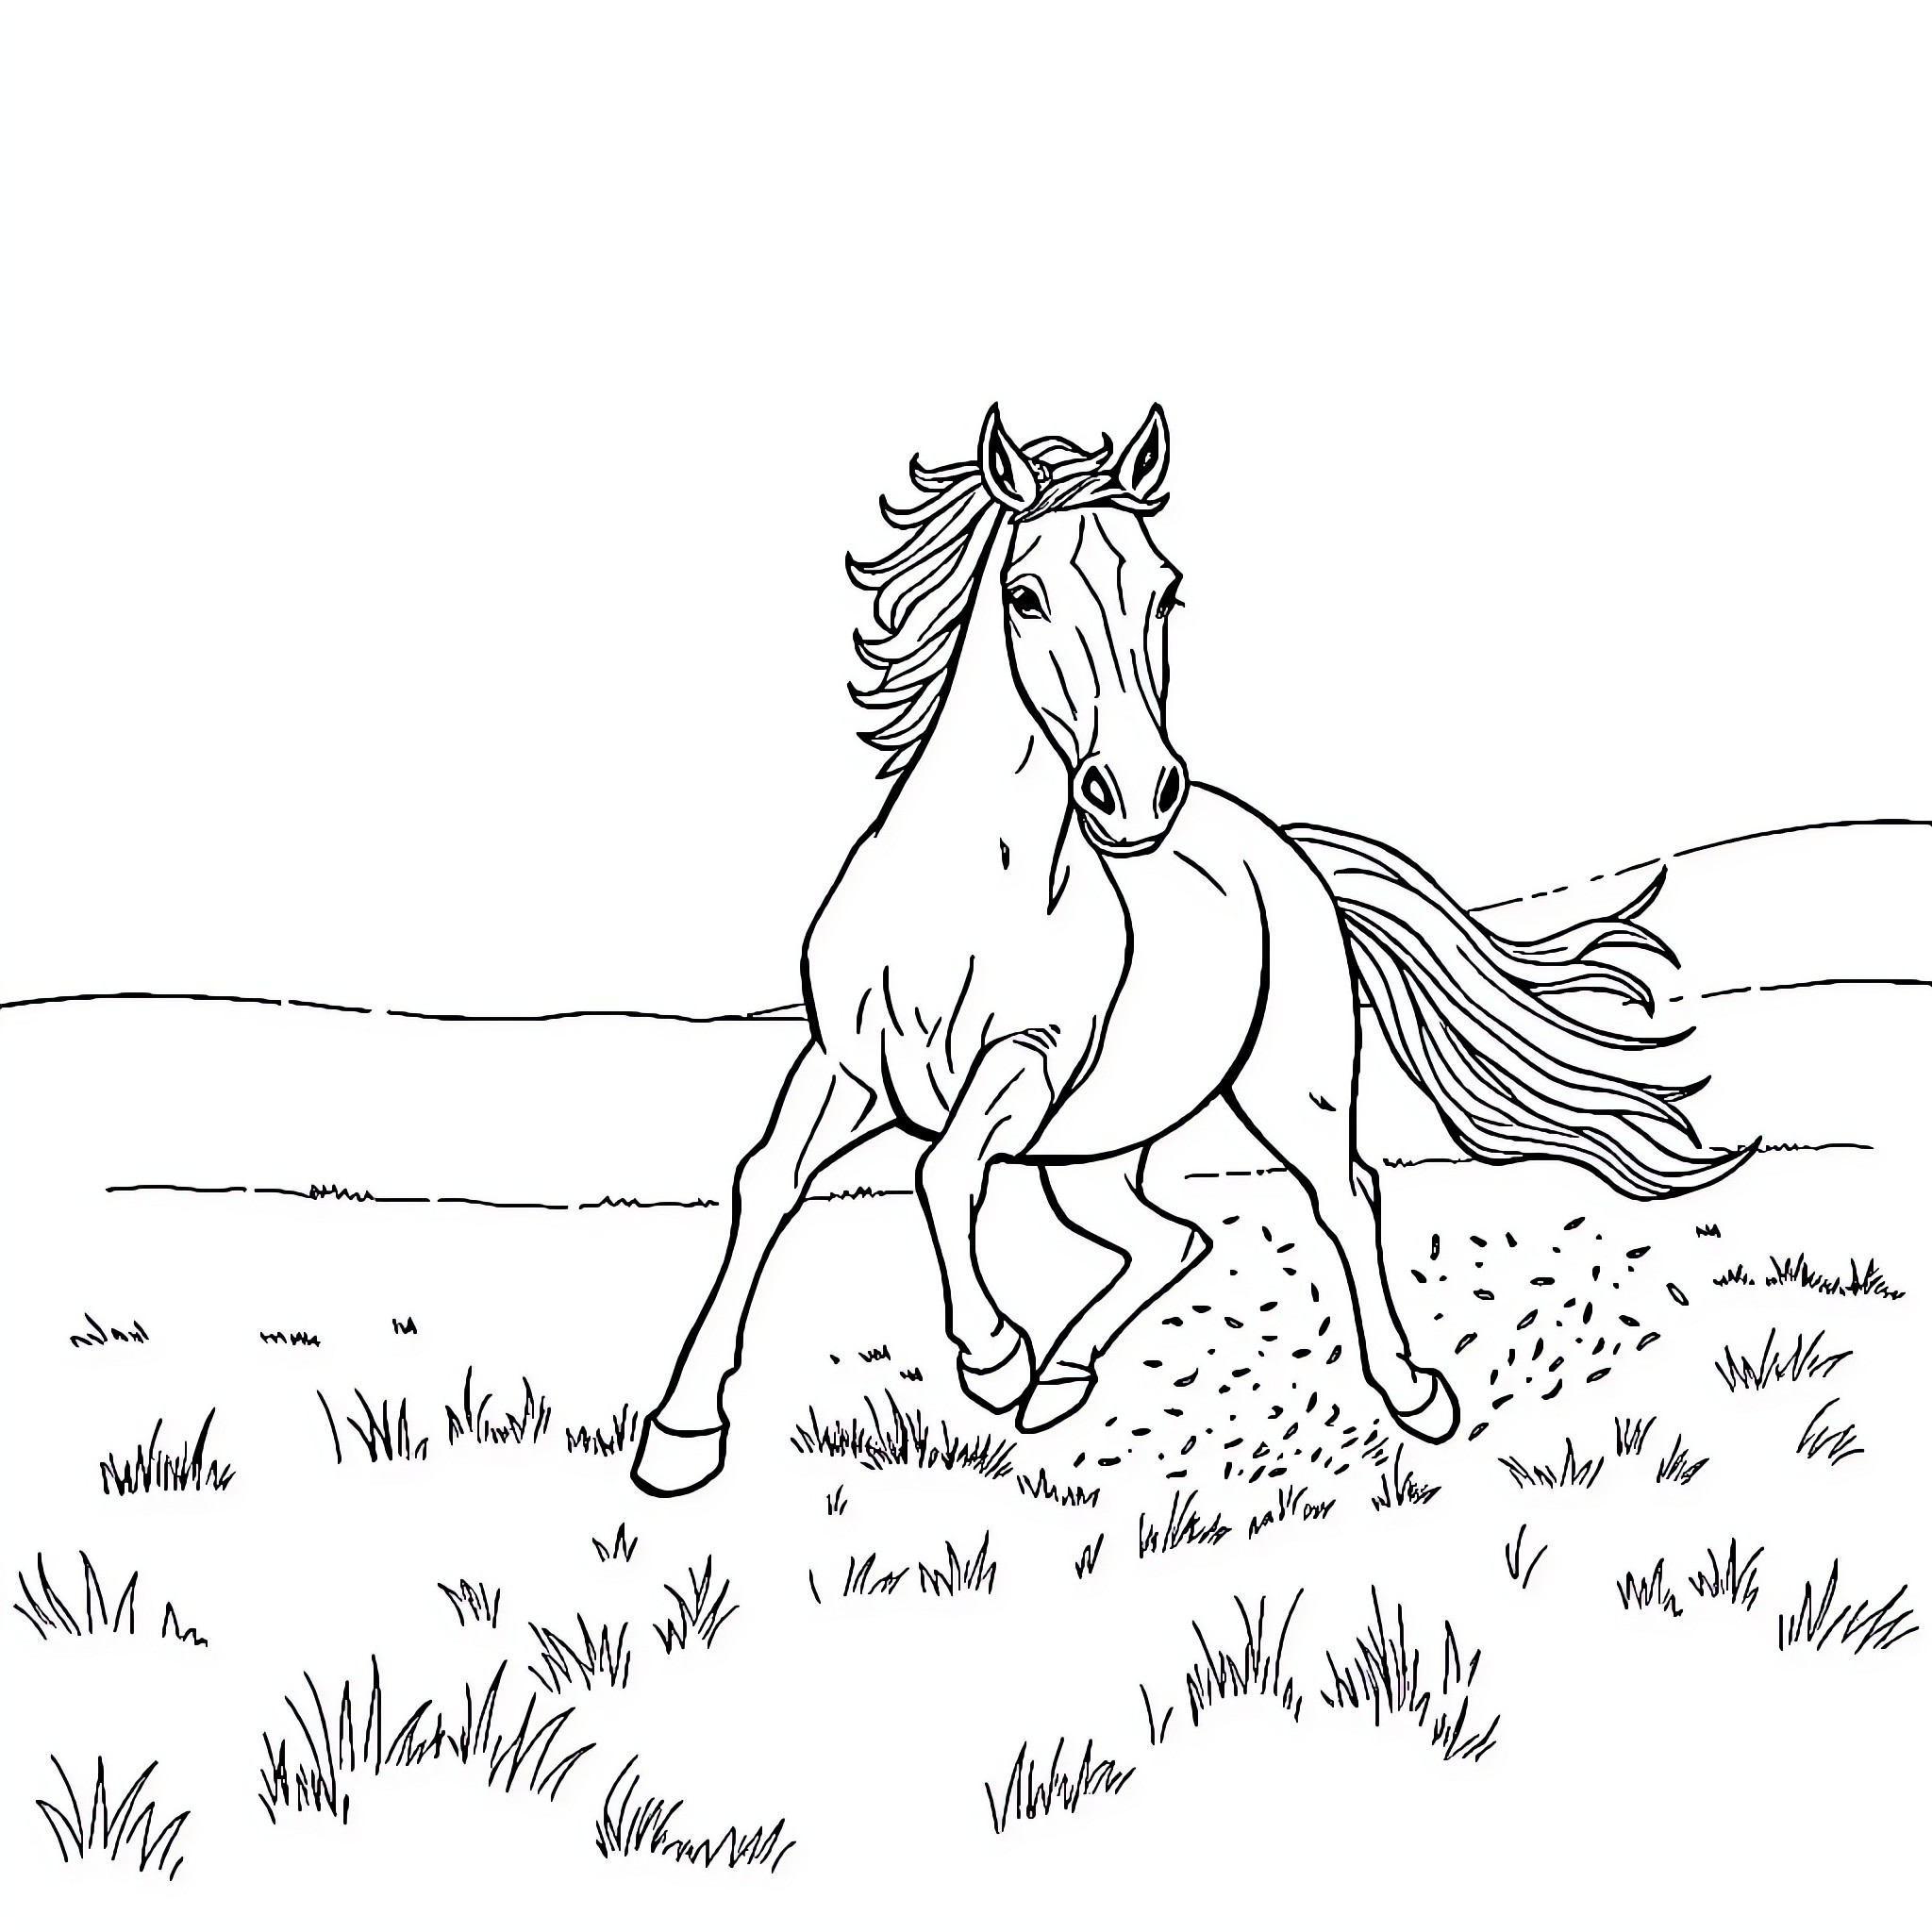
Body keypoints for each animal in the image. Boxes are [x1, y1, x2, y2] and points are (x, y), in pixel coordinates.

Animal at [632, 403, 1750, 1497]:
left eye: (1165, 593)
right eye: (1024, 595)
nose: (1135, 795)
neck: (965, 892)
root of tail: (1285, 848)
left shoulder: (1023, 1064)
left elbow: (941, 1173)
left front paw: (990, 1356)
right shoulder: (850, 1065)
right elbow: (765, 1182)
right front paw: (682, 1435)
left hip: (1290, 1090)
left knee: (1344, 1196)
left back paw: (1410, 1394)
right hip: (1089, 1152)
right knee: (1174, 1237)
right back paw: (1063, 1378)